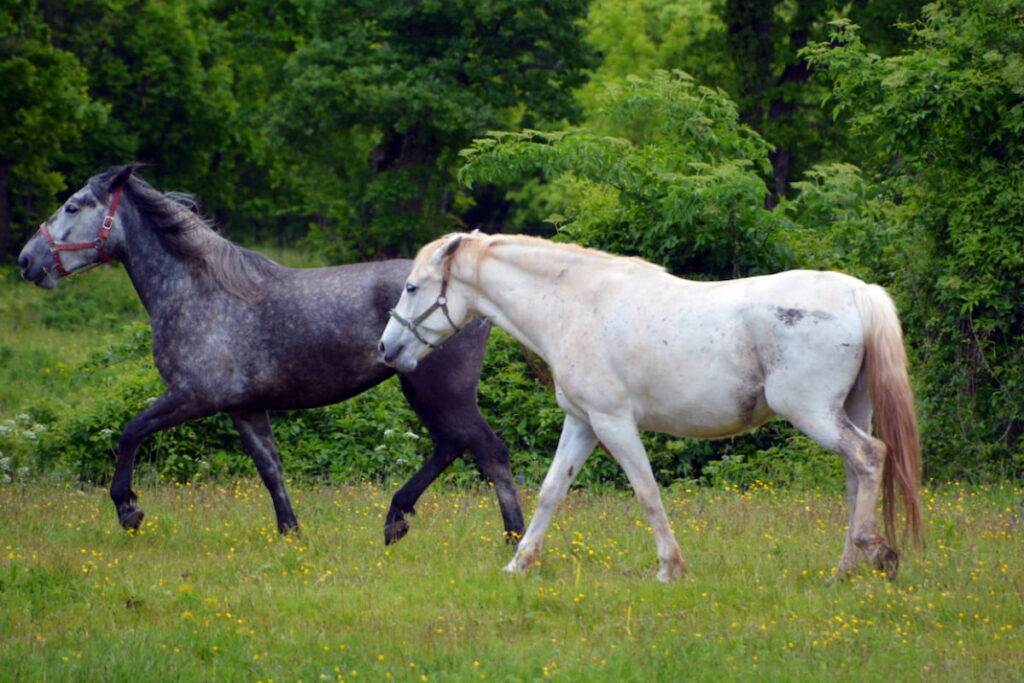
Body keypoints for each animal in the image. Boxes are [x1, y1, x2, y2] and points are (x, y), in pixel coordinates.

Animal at [19, 162, 524, 540]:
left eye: (73, 205)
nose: (27, 261)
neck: (197, 290)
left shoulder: (194, 397)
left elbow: (130, 432)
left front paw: (128, 509)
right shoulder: (244, 409)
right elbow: (270, 469)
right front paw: (290, 533)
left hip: (440, 389)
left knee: (489, 452)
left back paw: (512, 538)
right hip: (420, 389)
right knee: (452, 445)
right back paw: (396, 519)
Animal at [380, 235, 925, 581]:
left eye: (411, 287)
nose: (386, 349)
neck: (575, 305)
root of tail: (857, 292)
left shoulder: (613, 423)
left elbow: (646, 492)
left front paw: (669, 568)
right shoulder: (582, 423)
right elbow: (552, 492)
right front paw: (519, 563)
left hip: (813, 413)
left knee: (870, 458)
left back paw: (860, 559)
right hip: (846, 410)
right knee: (857, 474)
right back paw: (856, 563)